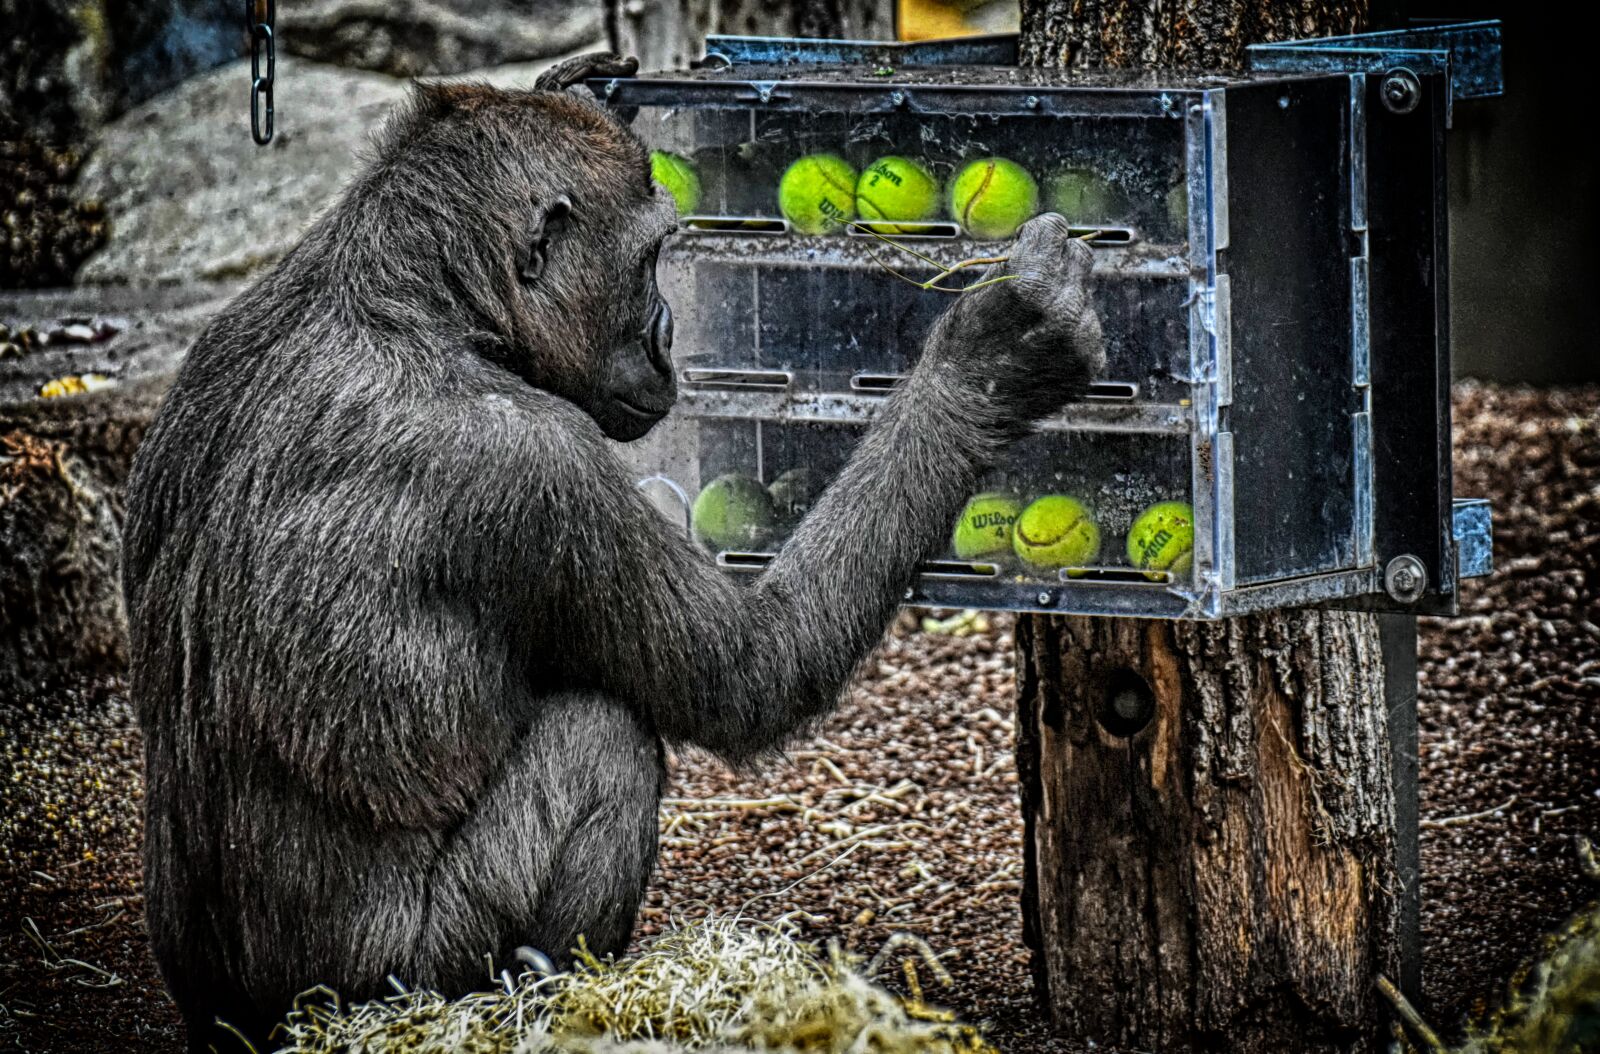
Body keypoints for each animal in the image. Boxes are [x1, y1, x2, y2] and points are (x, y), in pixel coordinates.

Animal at [121, 52, 1104, 1051]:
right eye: (647, 261)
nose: (669, 332)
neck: (418, 306)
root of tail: (277, 1028)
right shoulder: (542, 468)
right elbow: (753, 670)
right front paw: (994, 358)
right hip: (408, 988)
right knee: (603, 740)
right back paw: (549, 994)